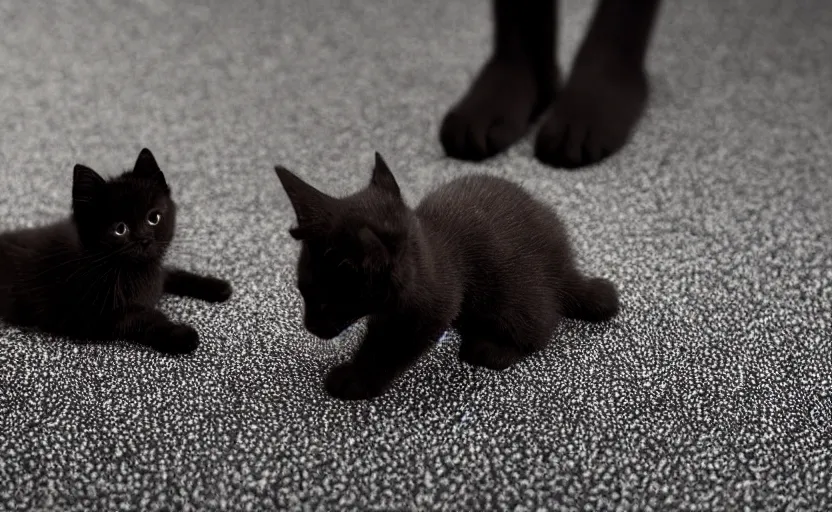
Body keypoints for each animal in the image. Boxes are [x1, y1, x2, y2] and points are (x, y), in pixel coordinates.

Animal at [0, 148, 232, 354]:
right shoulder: (88, 317)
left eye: (153, 218)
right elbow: (140, 317)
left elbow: (174, 273)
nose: (144, 240)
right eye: (120, 229)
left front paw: (216, 286)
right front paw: (180, 334)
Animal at [276, 152, 620, 400]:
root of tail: (564, 264)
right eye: (302, 292)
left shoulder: (429, 308)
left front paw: (355, 379)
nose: (310, 326)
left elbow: (389, 346)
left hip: (512, 295)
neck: (425, 252)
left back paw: (490, 348)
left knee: (540, 326)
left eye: (325, 302)